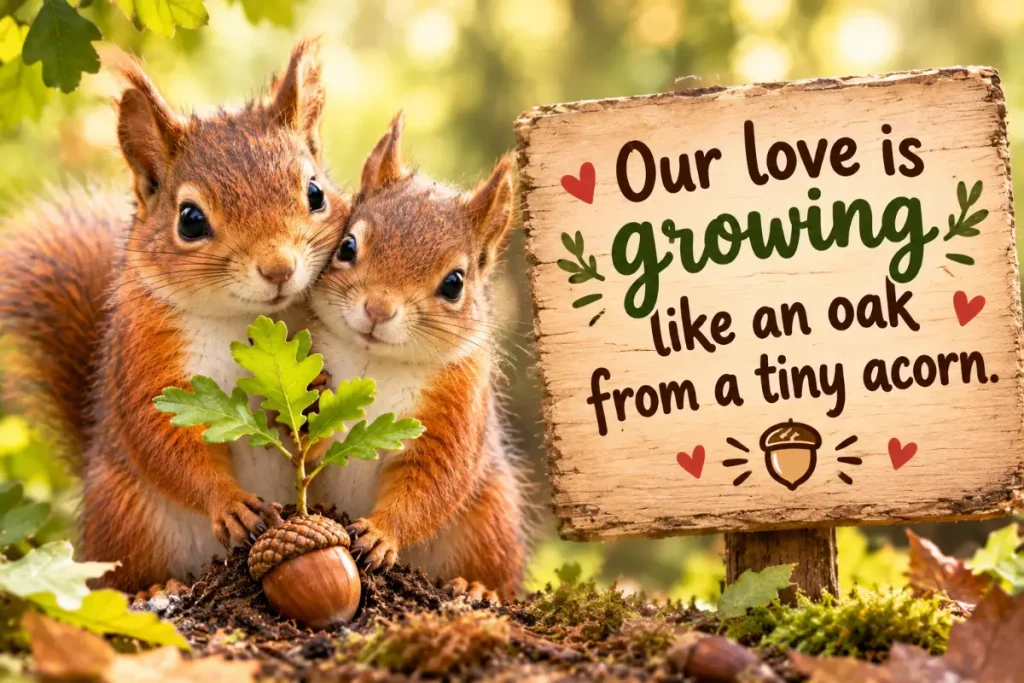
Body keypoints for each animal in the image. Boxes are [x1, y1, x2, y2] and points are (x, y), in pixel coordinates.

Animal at [0, 41, 350, 592]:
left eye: (316, 193)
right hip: (128, 518)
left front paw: (314, 403)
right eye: (189, 220)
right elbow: (163, 438)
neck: (244, 322)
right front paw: (231, 504)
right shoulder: (150, 355)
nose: (278, 269)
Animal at [306, 113, 527, 600]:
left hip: (492, 519)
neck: (376, 364)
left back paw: (478, 589)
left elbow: (430, 485)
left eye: (455, 283)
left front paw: (380, 534)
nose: (377, 309)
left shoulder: (455, 408)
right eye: (347, 246)